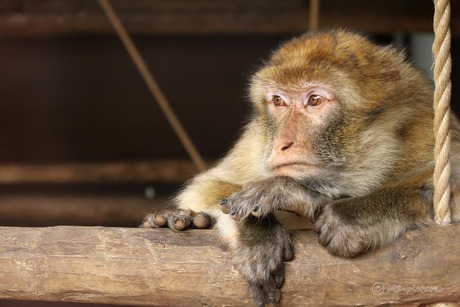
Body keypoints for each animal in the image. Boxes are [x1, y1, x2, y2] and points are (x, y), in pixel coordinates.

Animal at [142, 29, 460, 307]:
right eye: (279, 101)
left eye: (314, 100)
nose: (282, 142)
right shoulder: (256, 141)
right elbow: (209, 186)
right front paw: (256, 232)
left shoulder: (423, 128)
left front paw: (318, 200)